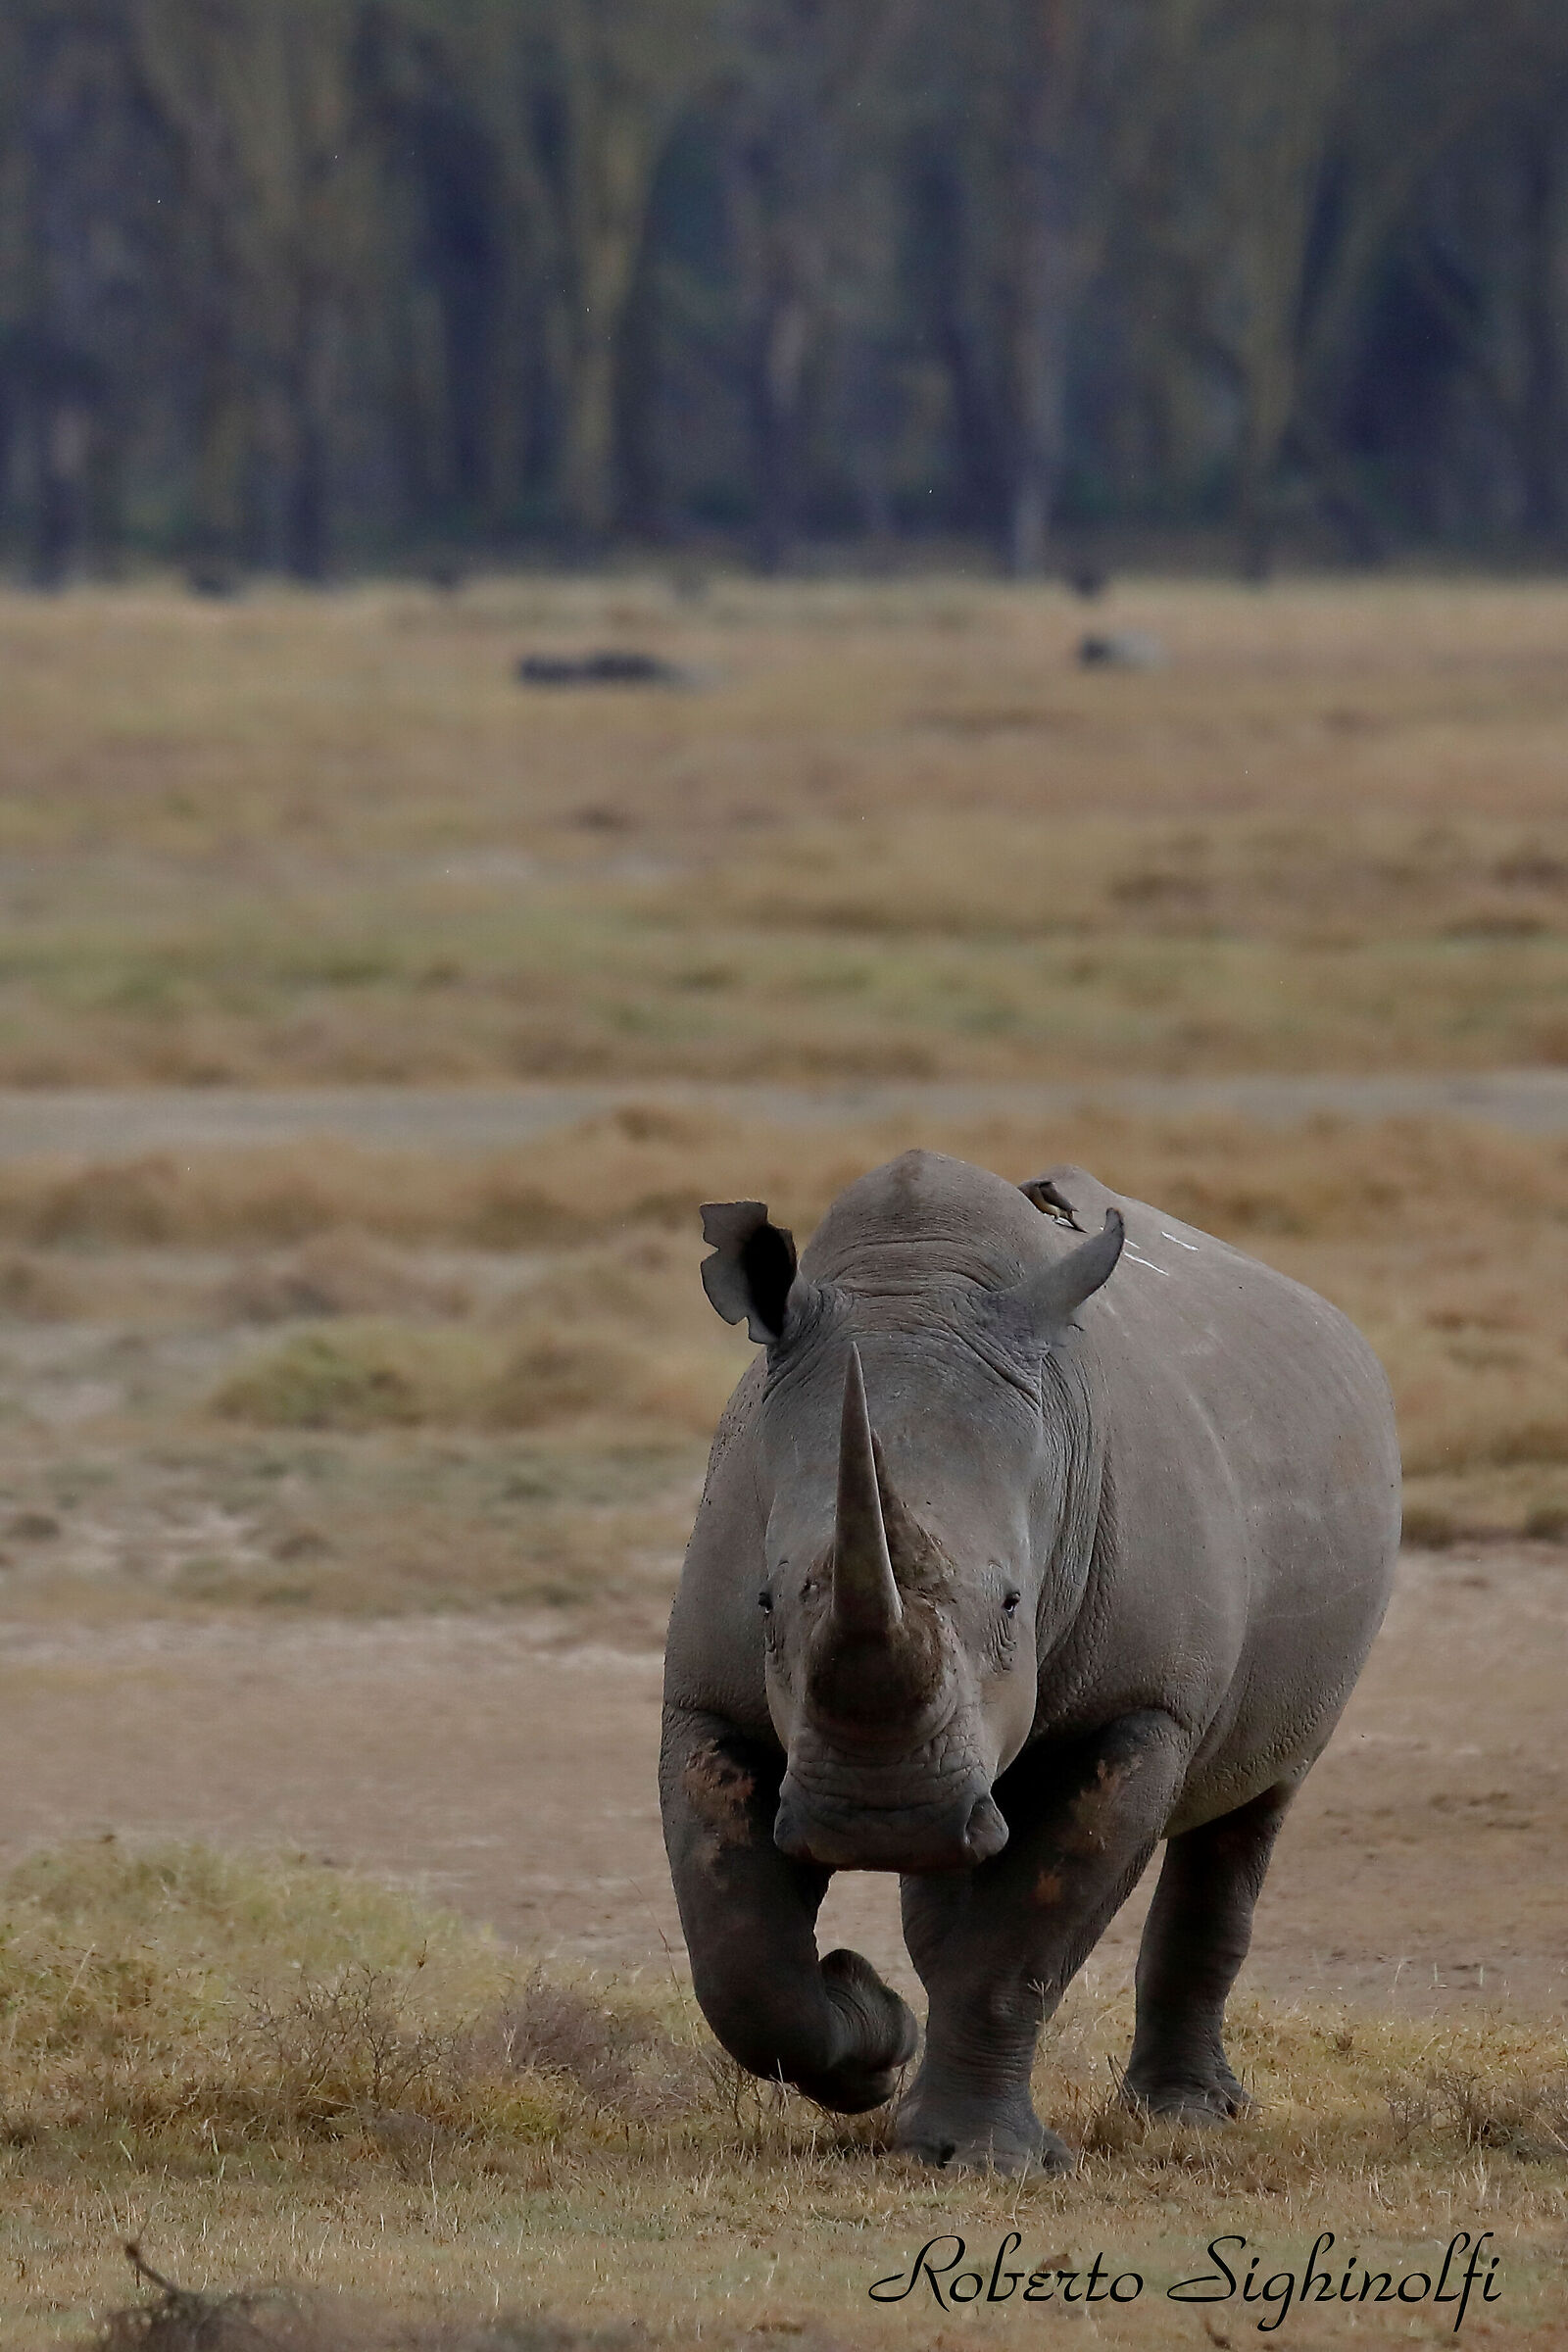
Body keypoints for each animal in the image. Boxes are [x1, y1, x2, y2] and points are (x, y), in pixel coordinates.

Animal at [660, 1150, 1400, 2172]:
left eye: (1016, 1602)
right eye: (766, 1602)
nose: (876, 1820)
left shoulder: (1140, 1709)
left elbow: (1024, 1944)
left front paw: (983, 2161)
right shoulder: (708, 1699)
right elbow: (736, 1953)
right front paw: (872, 2029)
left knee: (1255, 1803)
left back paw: (1187, 2118)